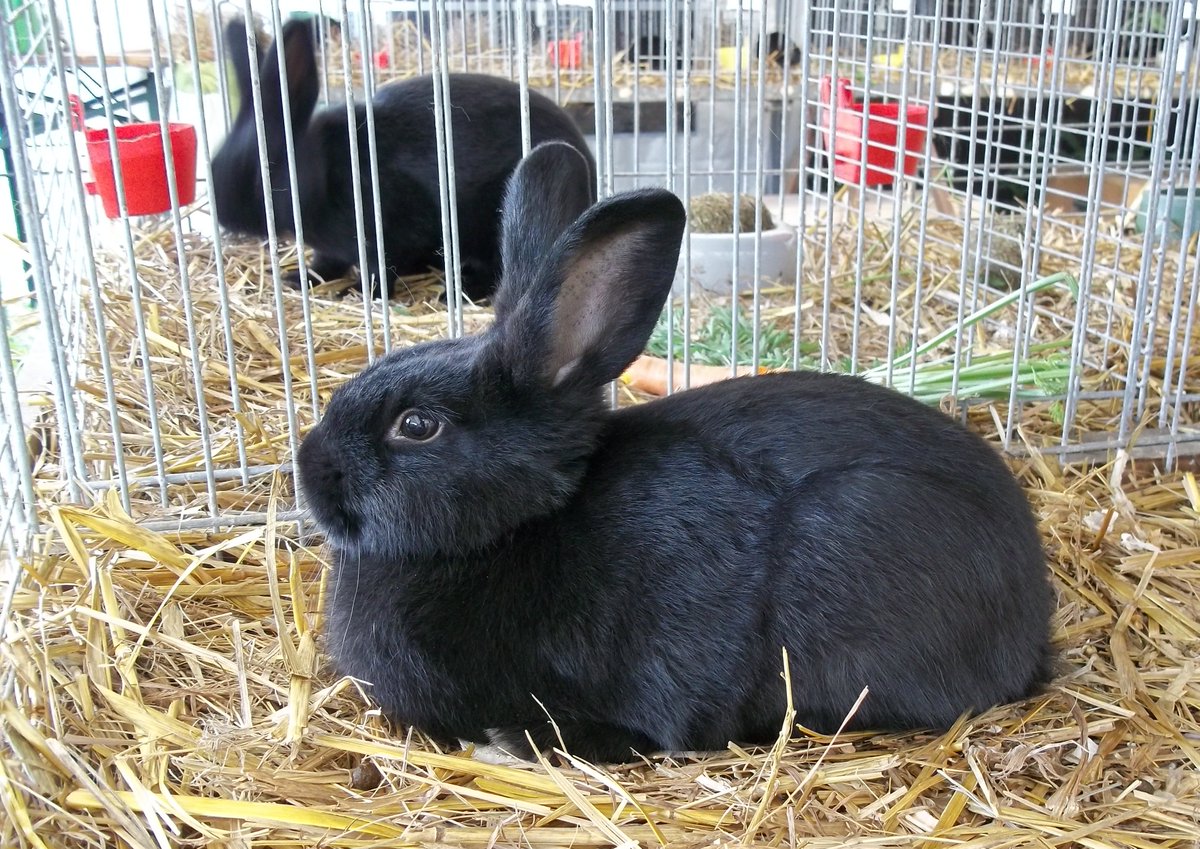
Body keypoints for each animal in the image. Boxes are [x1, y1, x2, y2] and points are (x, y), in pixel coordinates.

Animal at [210, 16, 596, 302]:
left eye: (265, 170)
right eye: (214, 162)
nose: (225, 217)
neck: (327, 174)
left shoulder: (385, 230)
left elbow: (380, 269)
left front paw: (358, 293)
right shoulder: (330, 248)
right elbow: (326, 263)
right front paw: (299, 278)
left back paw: (456, 293)